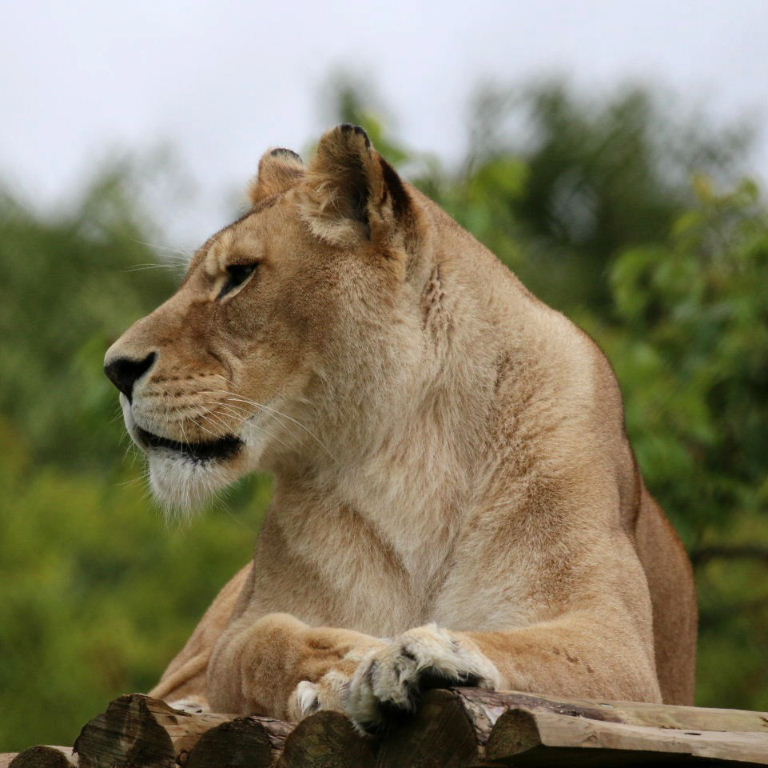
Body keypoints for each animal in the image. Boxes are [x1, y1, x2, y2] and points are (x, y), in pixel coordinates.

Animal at [104, 124, 697, 730]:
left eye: (240, 275)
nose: (115, 369)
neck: (411, 451)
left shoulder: (620, 650)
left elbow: (527, 648)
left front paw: (428, 654)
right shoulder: (250, 621)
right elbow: (262, 642)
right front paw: (347, 667)